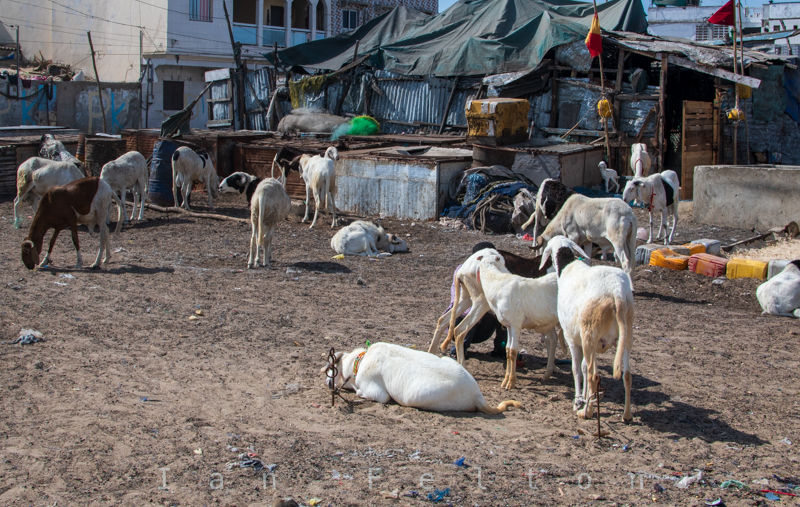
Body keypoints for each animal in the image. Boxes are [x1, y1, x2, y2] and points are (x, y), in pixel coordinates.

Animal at [540, 235, 634, 422]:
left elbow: (577, 369)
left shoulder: (572, 338)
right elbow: (583, 367)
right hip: (623, 336)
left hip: (589, 333)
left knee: (594, 375)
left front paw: (578, 401)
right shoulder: (589, 343)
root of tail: (617, 292)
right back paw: (626, 415)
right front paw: (584, 398)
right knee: (626, 375)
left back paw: (586, 412)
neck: (567, 267)